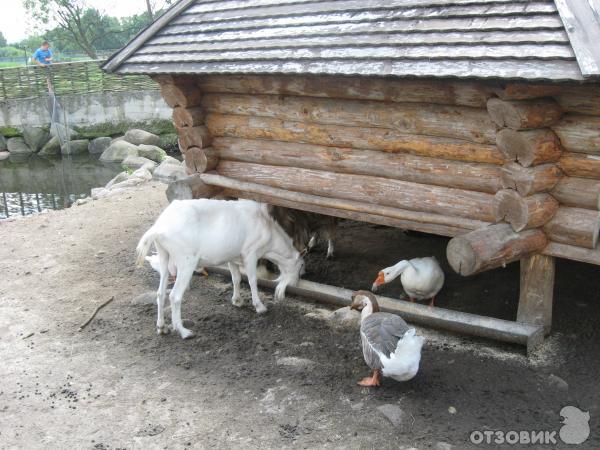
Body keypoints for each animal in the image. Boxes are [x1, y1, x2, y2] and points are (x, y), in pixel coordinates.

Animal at [136, 199, 304, 340]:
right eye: (301, 265)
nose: (296, 282)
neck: (266, 227)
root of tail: (159, 229)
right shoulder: (250, 253)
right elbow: (252, 280)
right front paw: (260, 307)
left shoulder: (233, 257)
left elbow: (236, 278)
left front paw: (237, 301)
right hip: (186, 262)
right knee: (174, 296)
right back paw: (184, 332)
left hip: (164, 256)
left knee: (160, 293)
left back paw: (162, 328)